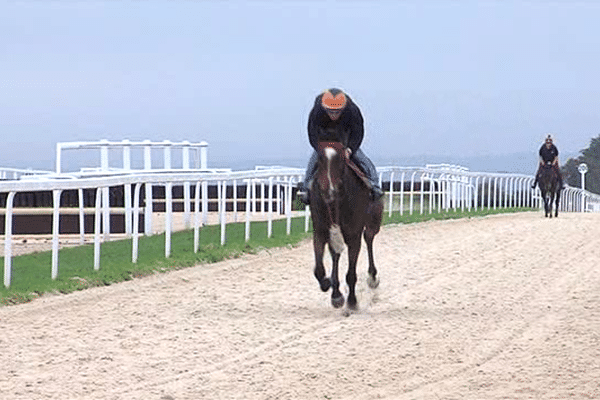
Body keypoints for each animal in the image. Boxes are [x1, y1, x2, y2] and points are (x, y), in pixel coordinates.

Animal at [310, 142, 384, 310]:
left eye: (340, 160)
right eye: (319, 159)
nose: (329, 189)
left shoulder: (353, 235)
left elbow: (351, 274)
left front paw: (352, 302)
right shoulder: (320, 230)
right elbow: (319, 269)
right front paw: (329, 286)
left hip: (373, 223)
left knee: (368, 238)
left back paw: (372, 278)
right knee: (335, 254)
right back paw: (336, 292)